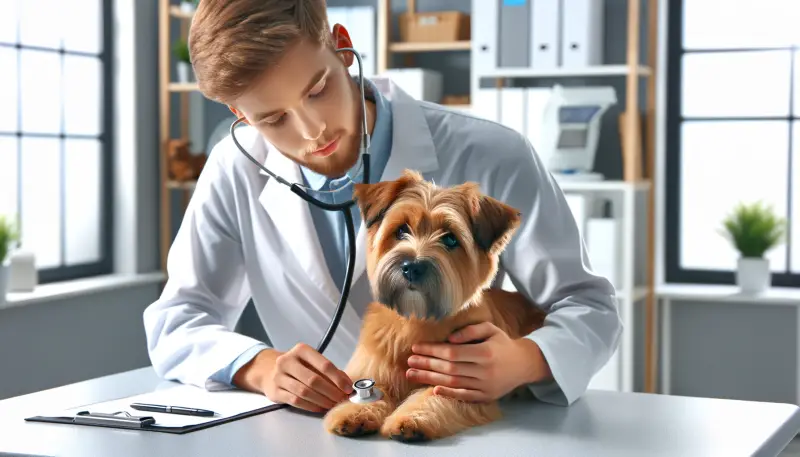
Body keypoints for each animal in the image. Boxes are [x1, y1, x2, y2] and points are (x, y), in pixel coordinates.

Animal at [322, 169, 548, 440]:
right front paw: (354, 412)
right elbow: (375, 390)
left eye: (450, 239)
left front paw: (410, 419)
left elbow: (431, 395)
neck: (416, 319)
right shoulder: (377, 370)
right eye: (401, 230)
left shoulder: (463, 382)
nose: (411, 267)